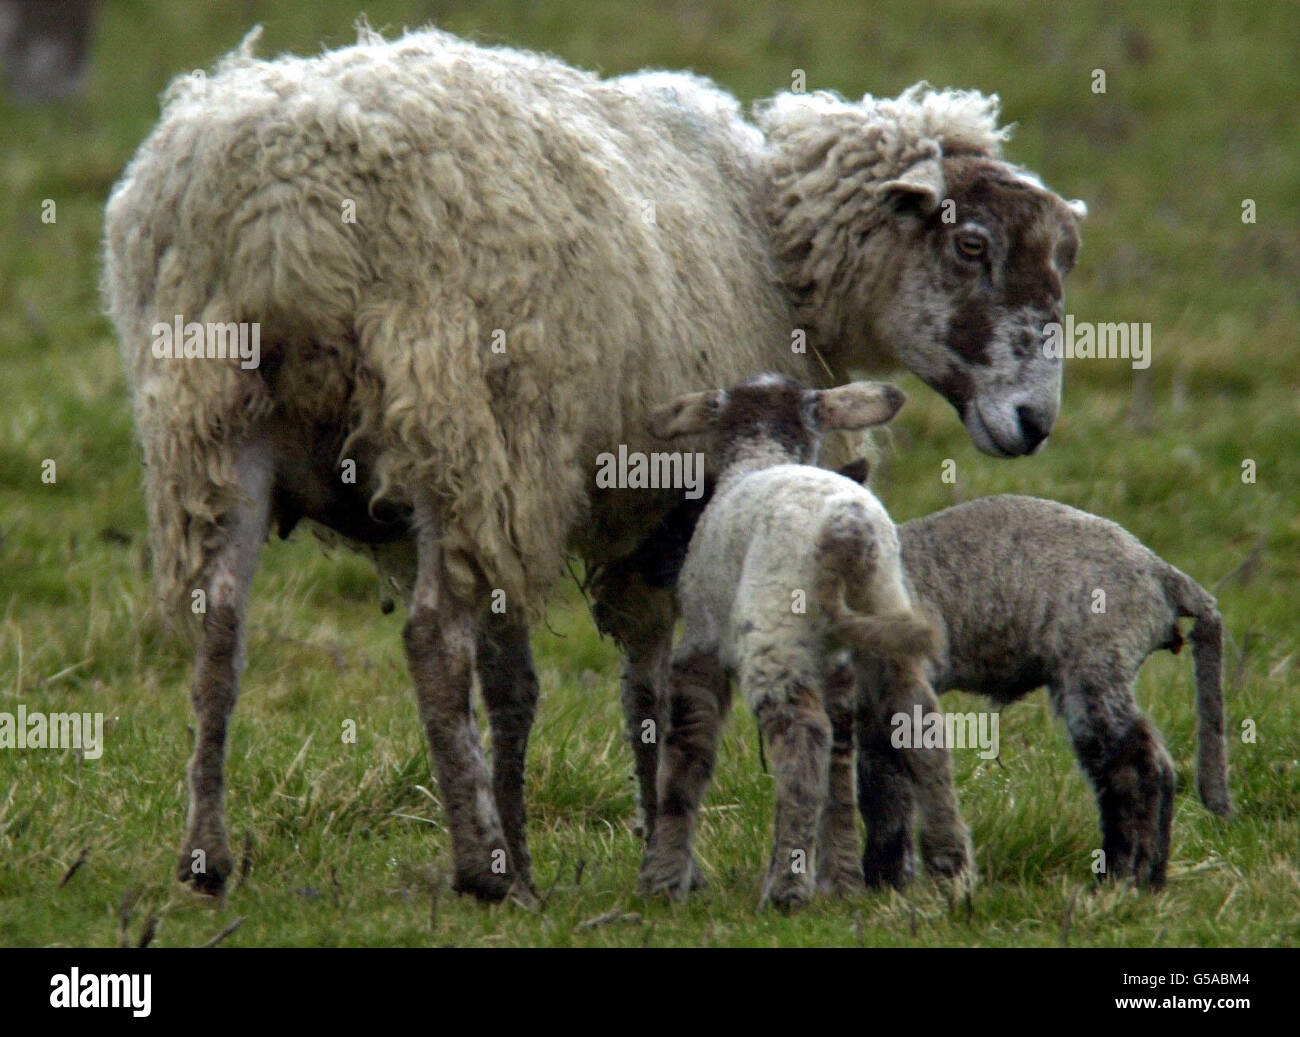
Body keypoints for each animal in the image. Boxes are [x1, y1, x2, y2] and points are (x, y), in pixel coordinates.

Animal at [634, 376, 972, 909]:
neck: (759, 456)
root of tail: (846, 530)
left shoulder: (701, 643)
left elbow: (687, 753)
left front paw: (662, 879)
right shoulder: (835, 666)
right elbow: (840, 769)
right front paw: (840, 878)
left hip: (775, 630)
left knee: (803, 737)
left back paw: (786, 891)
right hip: (883, 614)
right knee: (918, 722)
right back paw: (950, 865)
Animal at [832, 486, 1227, 883]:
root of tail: (1160, 573)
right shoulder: (873, 707)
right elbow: (882, 788)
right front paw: (885, 881)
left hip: (1093, 660)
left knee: (1136, 764)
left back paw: (1123, 876)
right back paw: (1151, 876)